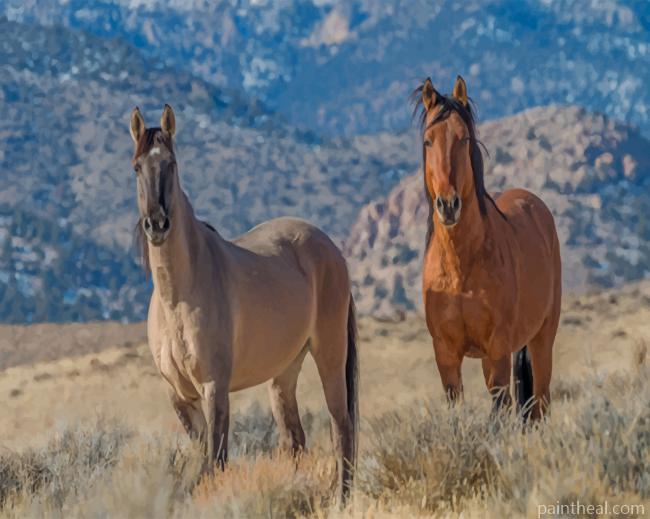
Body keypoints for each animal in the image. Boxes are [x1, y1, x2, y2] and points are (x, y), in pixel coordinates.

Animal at [128, 105, 358, 501]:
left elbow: (215, 462)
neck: (180, 296)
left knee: (340, 426)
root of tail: (332, 250)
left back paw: (341, 499)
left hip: (329, 353)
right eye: (137, 167)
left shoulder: (215, 389)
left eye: (171, 164)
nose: (157, 224)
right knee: (294, 440)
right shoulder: (181, 397)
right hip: (284, 372)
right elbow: (203, 461)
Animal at [414, 76, 561, 420]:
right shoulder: (446, 354)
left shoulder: (498, 350)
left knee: (540, 404)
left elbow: (500, 409)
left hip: (541, 339)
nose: (448, 205)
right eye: (428, 141)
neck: (460, 268)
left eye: (464, 138)